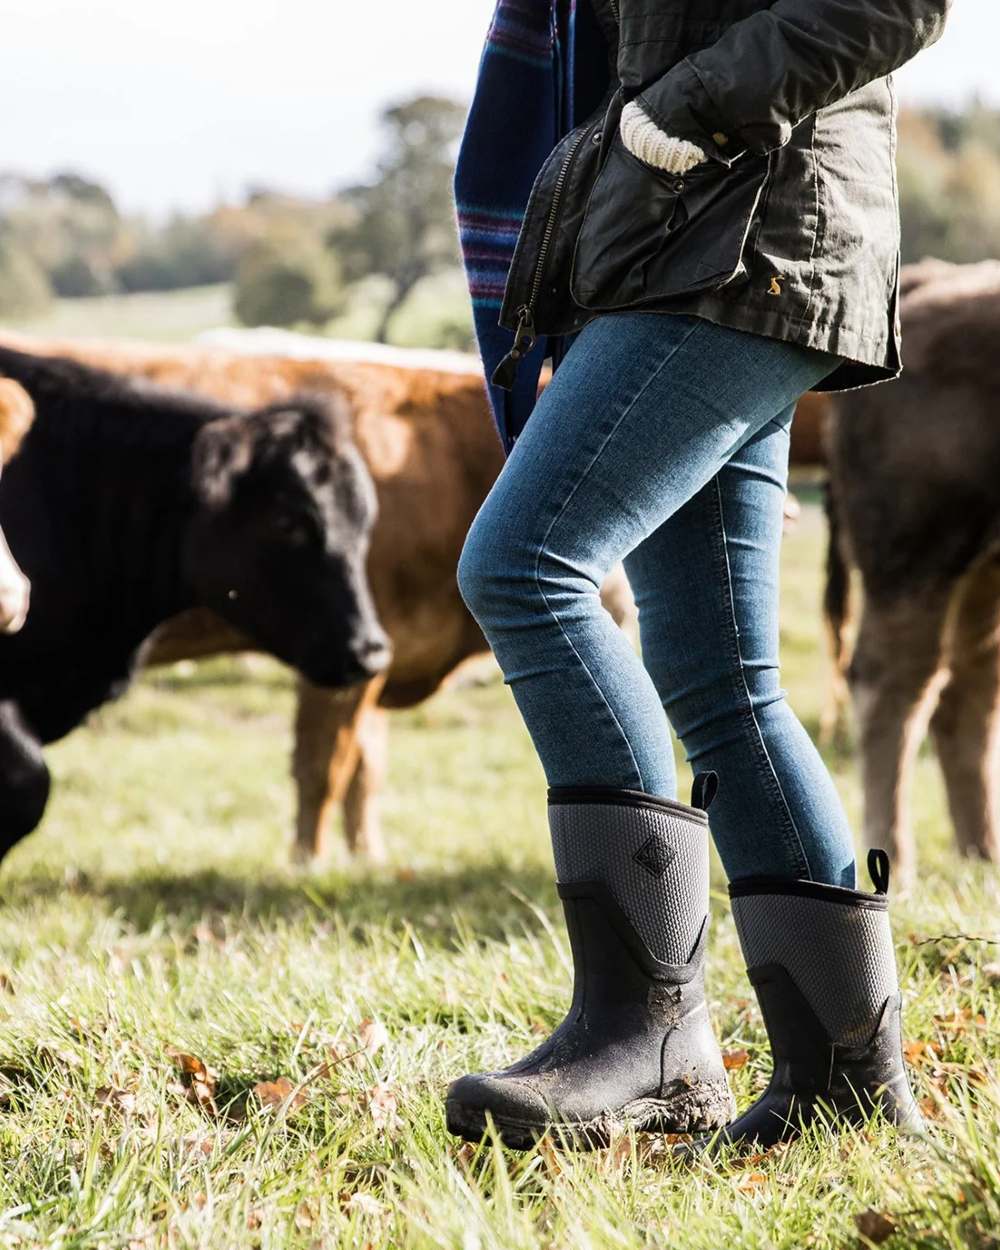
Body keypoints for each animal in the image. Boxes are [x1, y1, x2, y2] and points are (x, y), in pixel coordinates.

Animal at [825, 258, 1000, 885]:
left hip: (980, 570)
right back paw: (895, 863)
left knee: (967, 691)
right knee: (895, 684)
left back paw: (983, 853)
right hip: (916, 551)